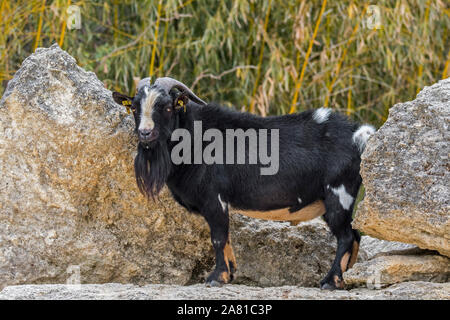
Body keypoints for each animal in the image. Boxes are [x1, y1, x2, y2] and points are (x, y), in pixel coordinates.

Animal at [113, 77, 376, 290]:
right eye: (134, 107)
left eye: (167, 107)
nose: (145, 133)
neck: (195, 139)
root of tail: (359, 135)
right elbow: (226, 237)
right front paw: (229, 274)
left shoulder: (214, 198)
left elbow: (218, 237)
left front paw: (216, 277)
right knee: (355, 235)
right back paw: (346, 277)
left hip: (339, 193)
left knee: (346, 237)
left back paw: (330, 281)